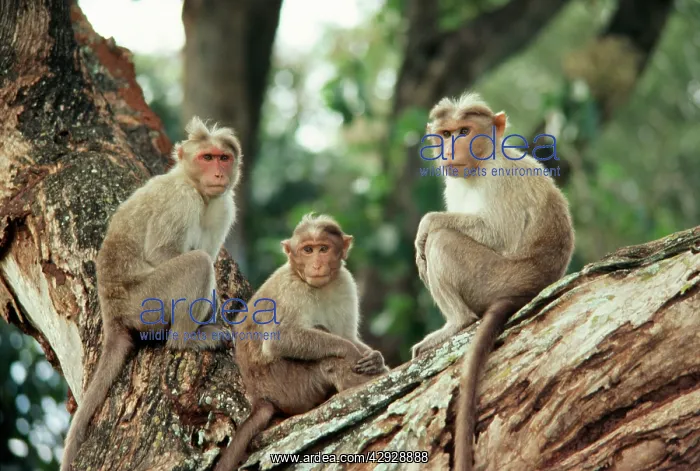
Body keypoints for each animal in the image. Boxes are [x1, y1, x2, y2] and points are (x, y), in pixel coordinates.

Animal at [60, 116, 243, 471]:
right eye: (207, 158)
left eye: (223, 158)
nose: (218, 174)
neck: (198, 190)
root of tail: (113, 314)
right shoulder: (180, 200)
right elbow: (163, 252)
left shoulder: (224, 206)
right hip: (147, 302)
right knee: (197, 263)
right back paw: (187, 340)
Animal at [213, 213, 388, 471]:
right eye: (307, 250)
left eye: (323, 249)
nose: (316, 264)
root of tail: (259, 398)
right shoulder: (291, 289)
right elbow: (281, 340)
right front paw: (350, 351)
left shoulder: (344, 282)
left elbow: (346, 333)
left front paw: (376, 358)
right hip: (289, 387)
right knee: (327, 358)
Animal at [412, 92, 575, 470]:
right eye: (445, 133)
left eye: (464, 131)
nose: (450, 148)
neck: (478, 167)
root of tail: (531, 286)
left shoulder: (501, 179)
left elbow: (497, 234)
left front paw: (427, 224)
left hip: (495, 278)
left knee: (443, 242)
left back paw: (456, 322)